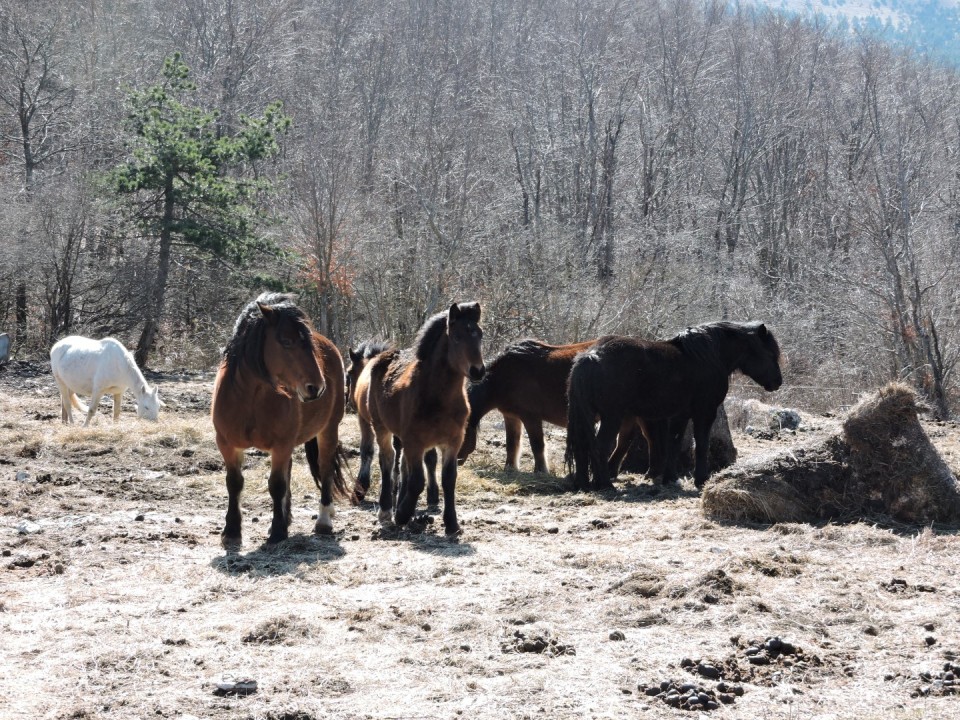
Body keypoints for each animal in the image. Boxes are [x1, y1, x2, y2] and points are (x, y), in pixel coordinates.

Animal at [210, 292, 348, 544]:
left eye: (309, 343)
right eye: (286, 341)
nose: (317, 387)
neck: (250, 399)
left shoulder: (281, 445)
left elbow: (276, 485)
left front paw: (277, 531)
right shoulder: (227, 444)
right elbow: (234, 483)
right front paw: (232, 530)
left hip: (328, 430)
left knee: (324, 468)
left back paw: (324, 520)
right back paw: (288, 517)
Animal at [344, 344, 438, 506]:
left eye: (349, 373)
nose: (349, 400)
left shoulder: (364, 419)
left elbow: (367, 450)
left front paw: (360, 489)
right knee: (424, 457)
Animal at [460, 338, 644, 476]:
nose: (457, 461)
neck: (504, 376)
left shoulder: (530, 417)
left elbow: (537, 444)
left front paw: (541, 471)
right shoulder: (511, 416)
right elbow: (512, 444)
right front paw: (510, 469)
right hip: (627, 415)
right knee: (624, 441)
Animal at [568, 320, 784, 490]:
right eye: (770, 353)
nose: (777, 382)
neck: (709, 357)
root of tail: (591, 356)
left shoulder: (681, 415)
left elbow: (674, 443)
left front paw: (670, 478)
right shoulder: (705, 413)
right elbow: (701, 444)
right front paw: (701, 480)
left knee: (582, 447)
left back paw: (584, 484)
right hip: (612, 417)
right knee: (599, 447)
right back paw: (605, 484)